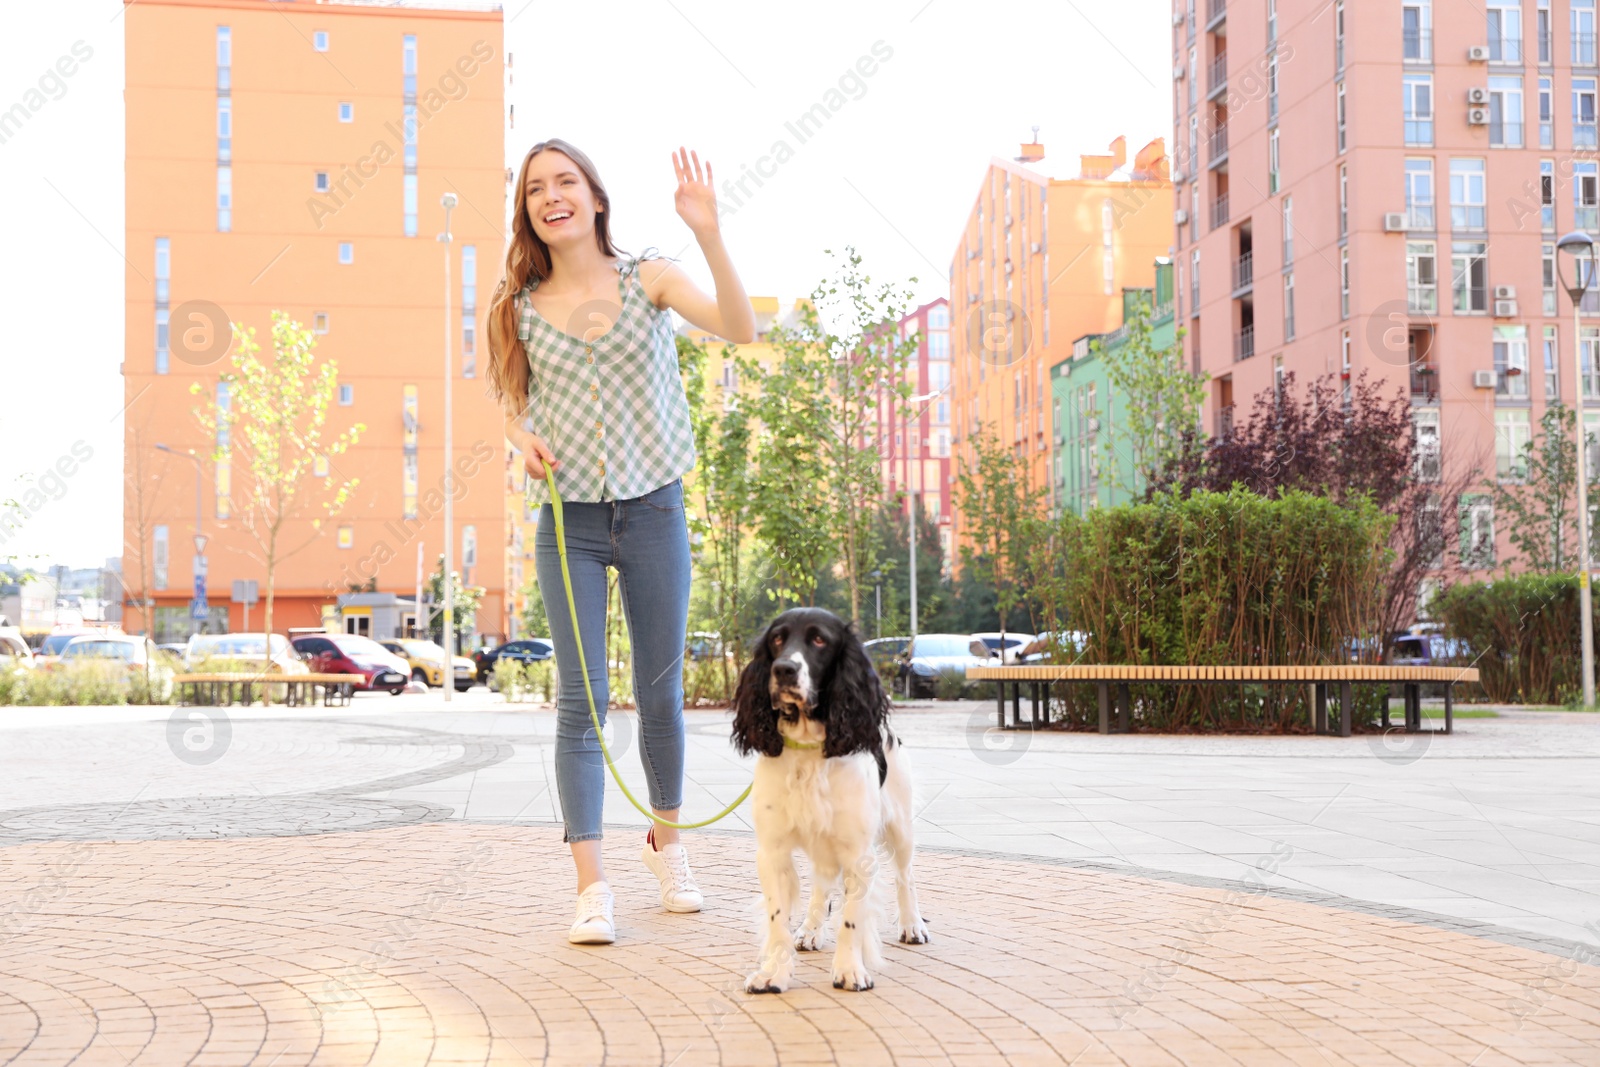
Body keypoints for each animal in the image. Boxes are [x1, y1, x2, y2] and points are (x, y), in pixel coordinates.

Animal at [726, 607, 928, 991]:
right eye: (777, 639)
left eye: (819, 640)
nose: (783, 670)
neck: (809, 749)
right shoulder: (772, 850)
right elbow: (778, 919)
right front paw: (773, 972)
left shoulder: (858, 854)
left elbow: (852, 919)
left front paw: (850, 970)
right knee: (821, 885)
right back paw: (810, 930)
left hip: (901, 827)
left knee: (905, 876)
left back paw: (912, 925)